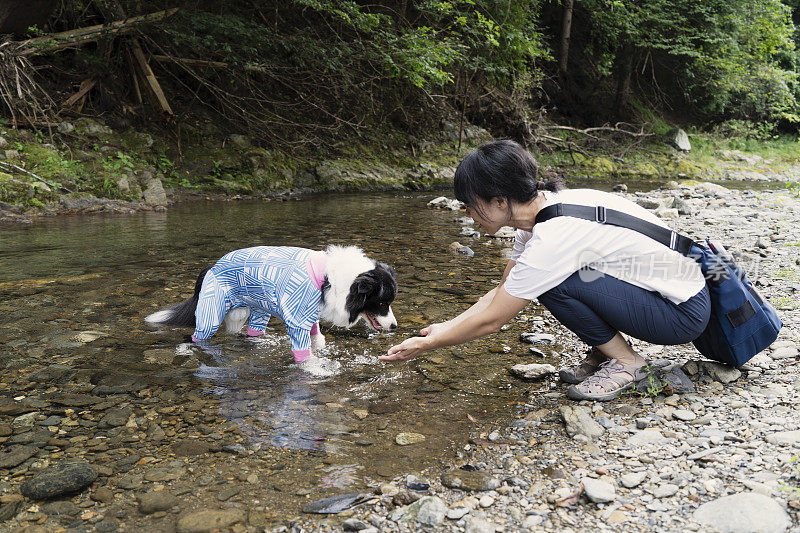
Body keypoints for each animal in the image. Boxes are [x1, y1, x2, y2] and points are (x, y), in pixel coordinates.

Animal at [146, 244, 396, 372]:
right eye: (382, 303)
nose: (394, 326)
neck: (332, 279)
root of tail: (210, 267)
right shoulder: (297, 318)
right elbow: (304, 355)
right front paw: (316, 368)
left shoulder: (310, 313)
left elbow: (317, 337)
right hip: (211, 312)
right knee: (195, 337)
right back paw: (185, 350)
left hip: (253, 311)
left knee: (250, 333)